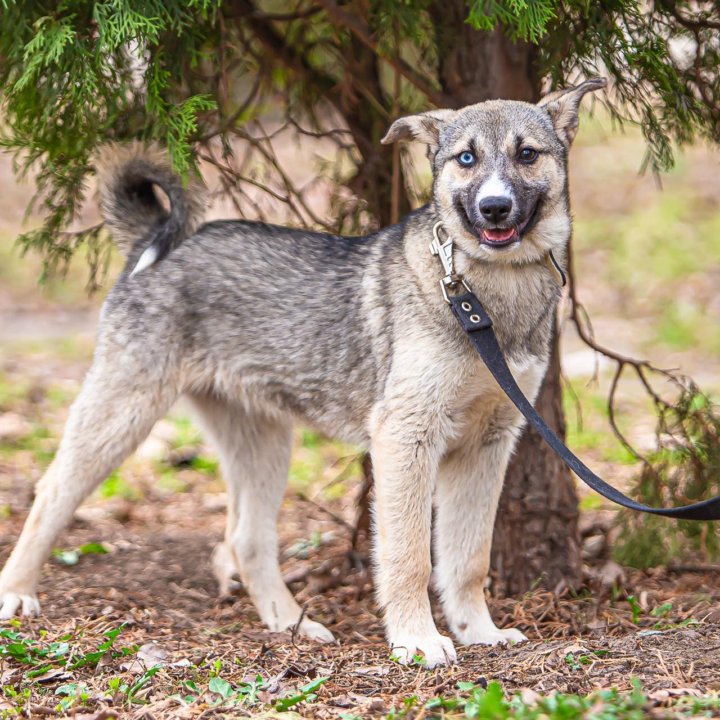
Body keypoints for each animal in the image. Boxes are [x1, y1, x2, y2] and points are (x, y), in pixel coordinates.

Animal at [0, 76, 604, 668]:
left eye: (527, 154)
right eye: (466, 158)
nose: (495, 207)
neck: (482, 293)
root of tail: (152, 239)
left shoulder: (488, 443)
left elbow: (468, 558)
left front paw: (478, 631)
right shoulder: (406, 437)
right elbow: (409, 556)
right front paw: (417, 640)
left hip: (262, 441)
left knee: (246, 541)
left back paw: (291, 624)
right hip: (123, 411)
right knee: (52, 494)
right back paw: (16, 593)